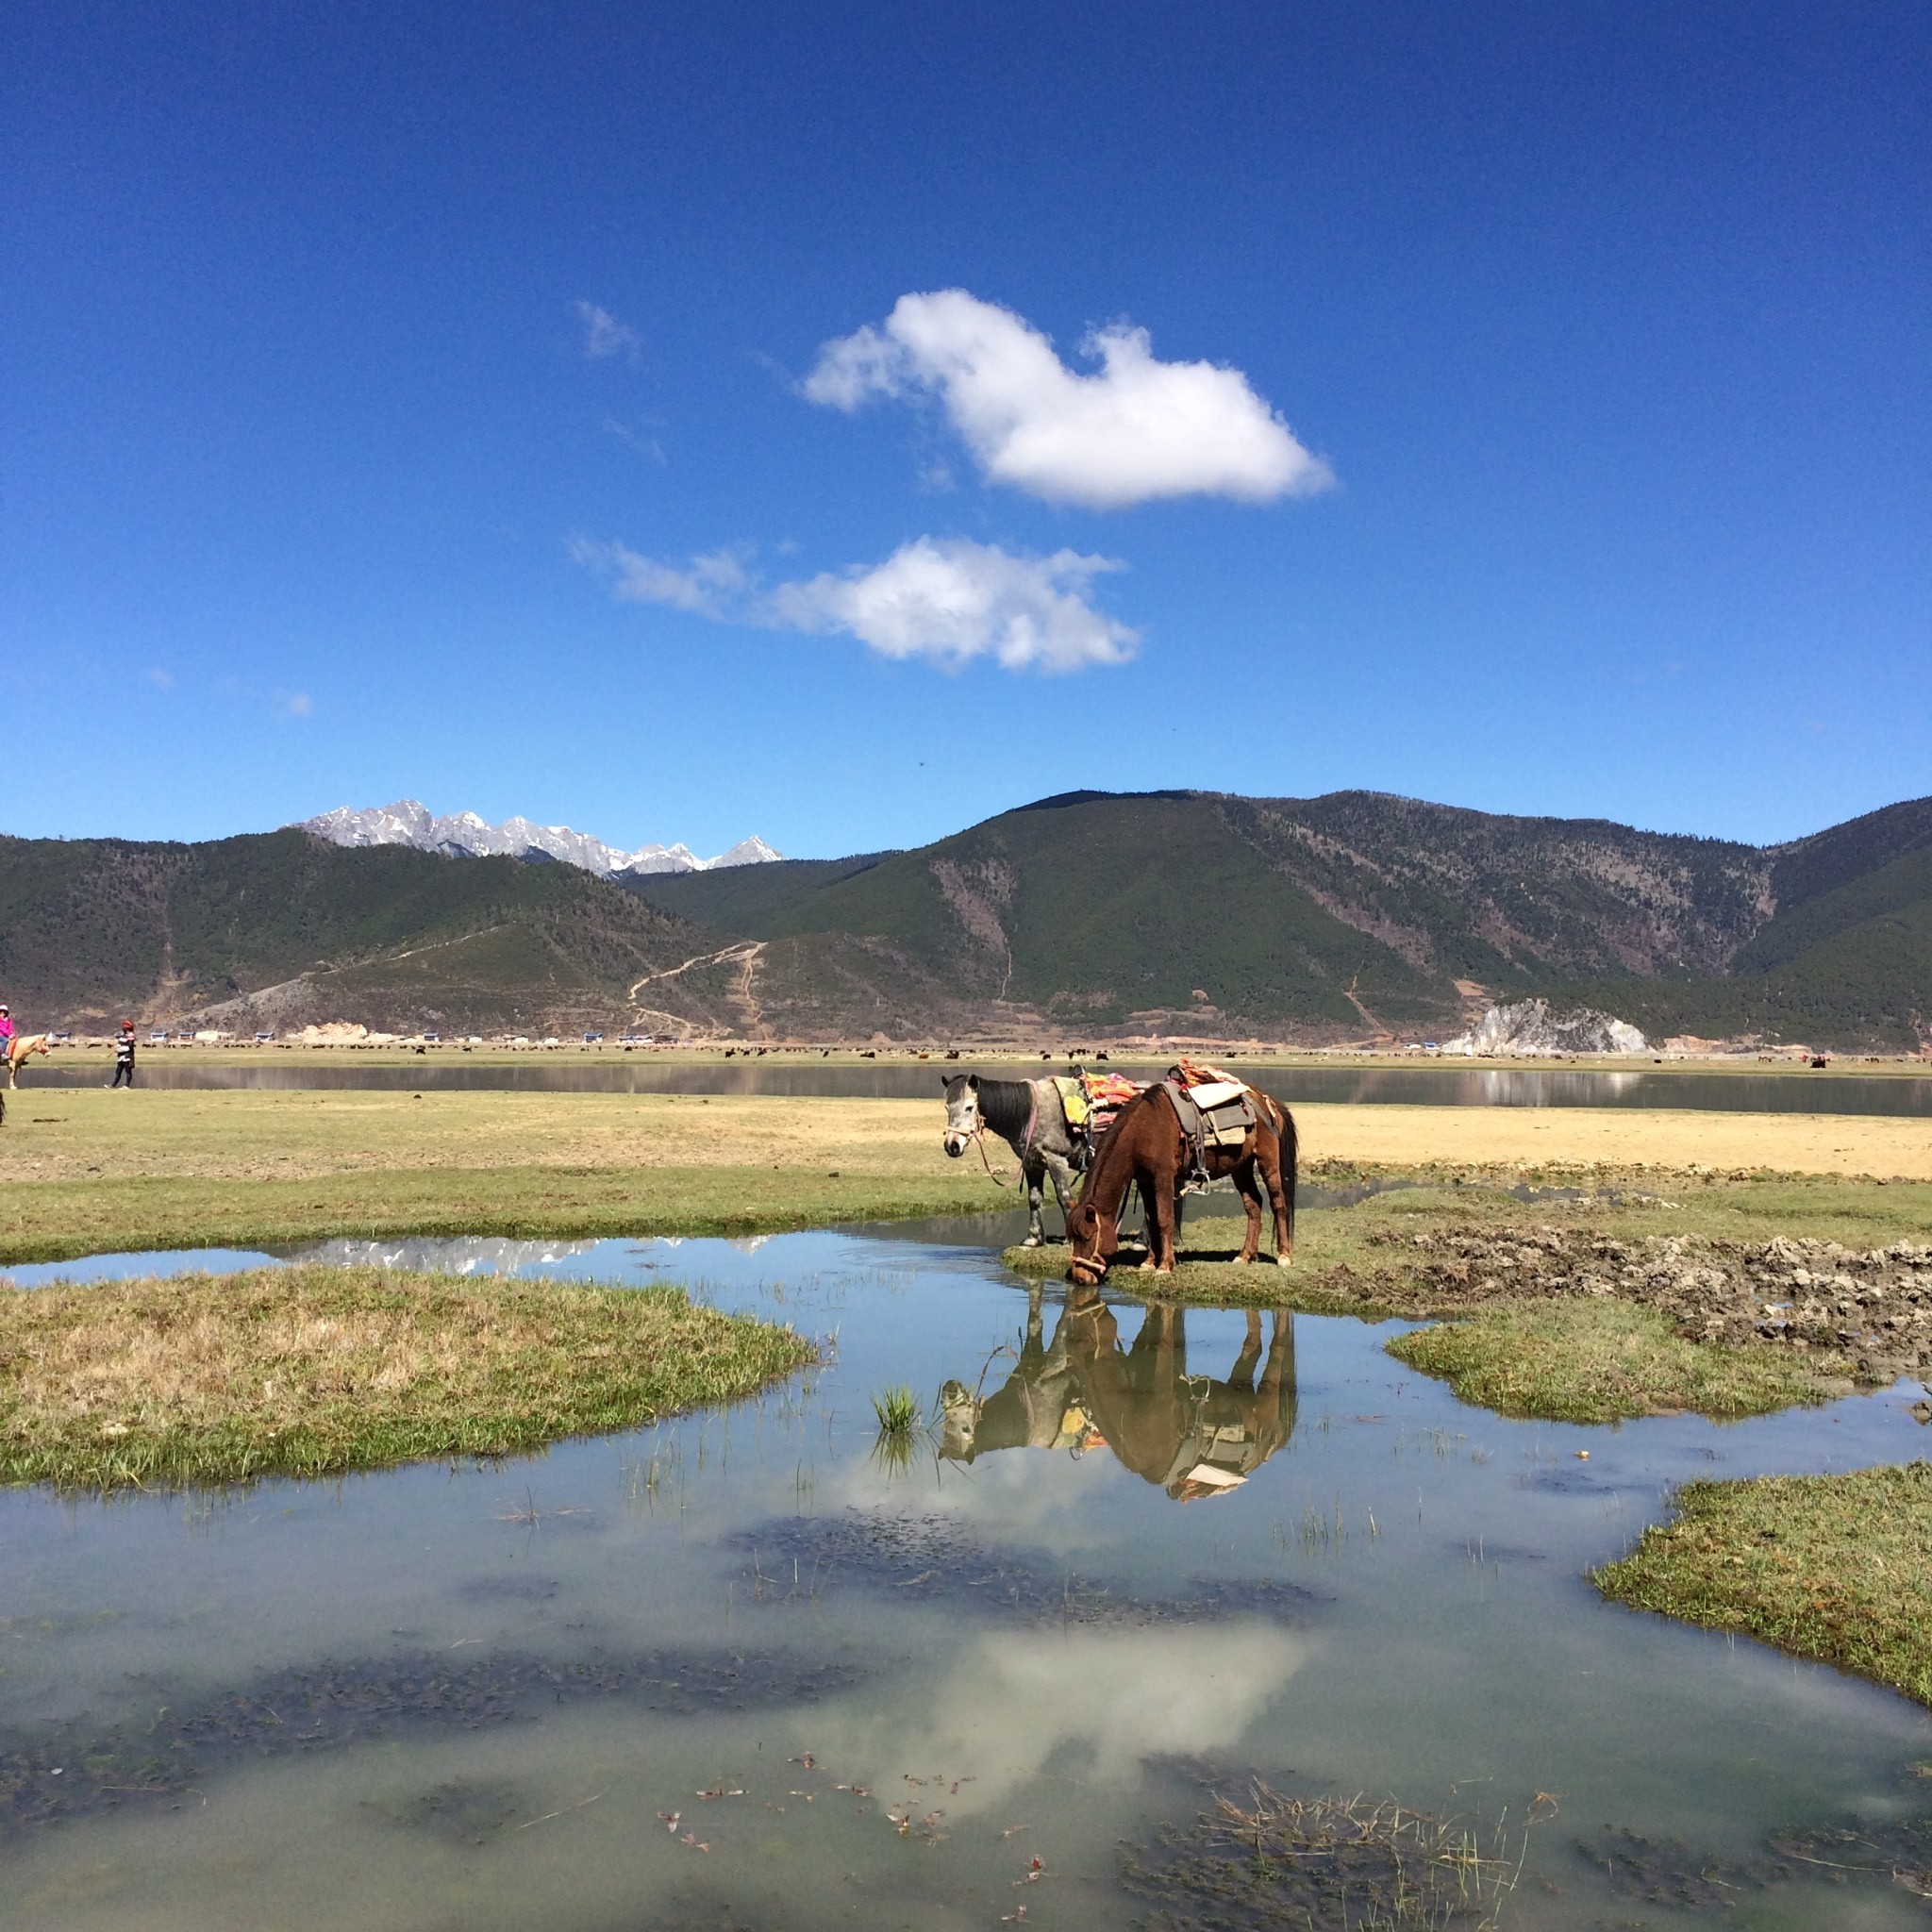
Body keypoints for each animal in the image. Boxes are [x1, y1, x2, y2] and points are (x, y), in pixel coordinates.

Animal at [946, 1074, 1090, 1252]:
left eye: (969, 1107)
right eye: (947, 1109)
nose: (952, 1146)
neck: (1031, 1115)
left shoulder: (1056, 1160)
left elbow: (1064, 1197)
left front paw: (1071, 1241)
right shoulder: (1031, 1163)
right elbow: (1034, 1198)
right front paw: (1033, 1239)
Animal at [1058, 1081, 1298, 1291]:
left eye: (1087, 1237)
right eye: (1073, 1237)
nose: (1080, 1277)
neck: (1143, 1129)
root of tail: (1269, 1101)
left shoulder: (1164, 1177)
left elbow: (1165, 1220)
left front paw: (1164, 1266)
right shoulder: (1145, 1180)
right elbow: (1151, 1219)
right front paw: (1149, 1263)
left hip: (1267, 1161)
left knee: (1278, 1202)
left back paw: (1284, 1256)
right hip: (1241, 1167)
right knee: (1253, 1204)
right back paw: (1245, 1255)